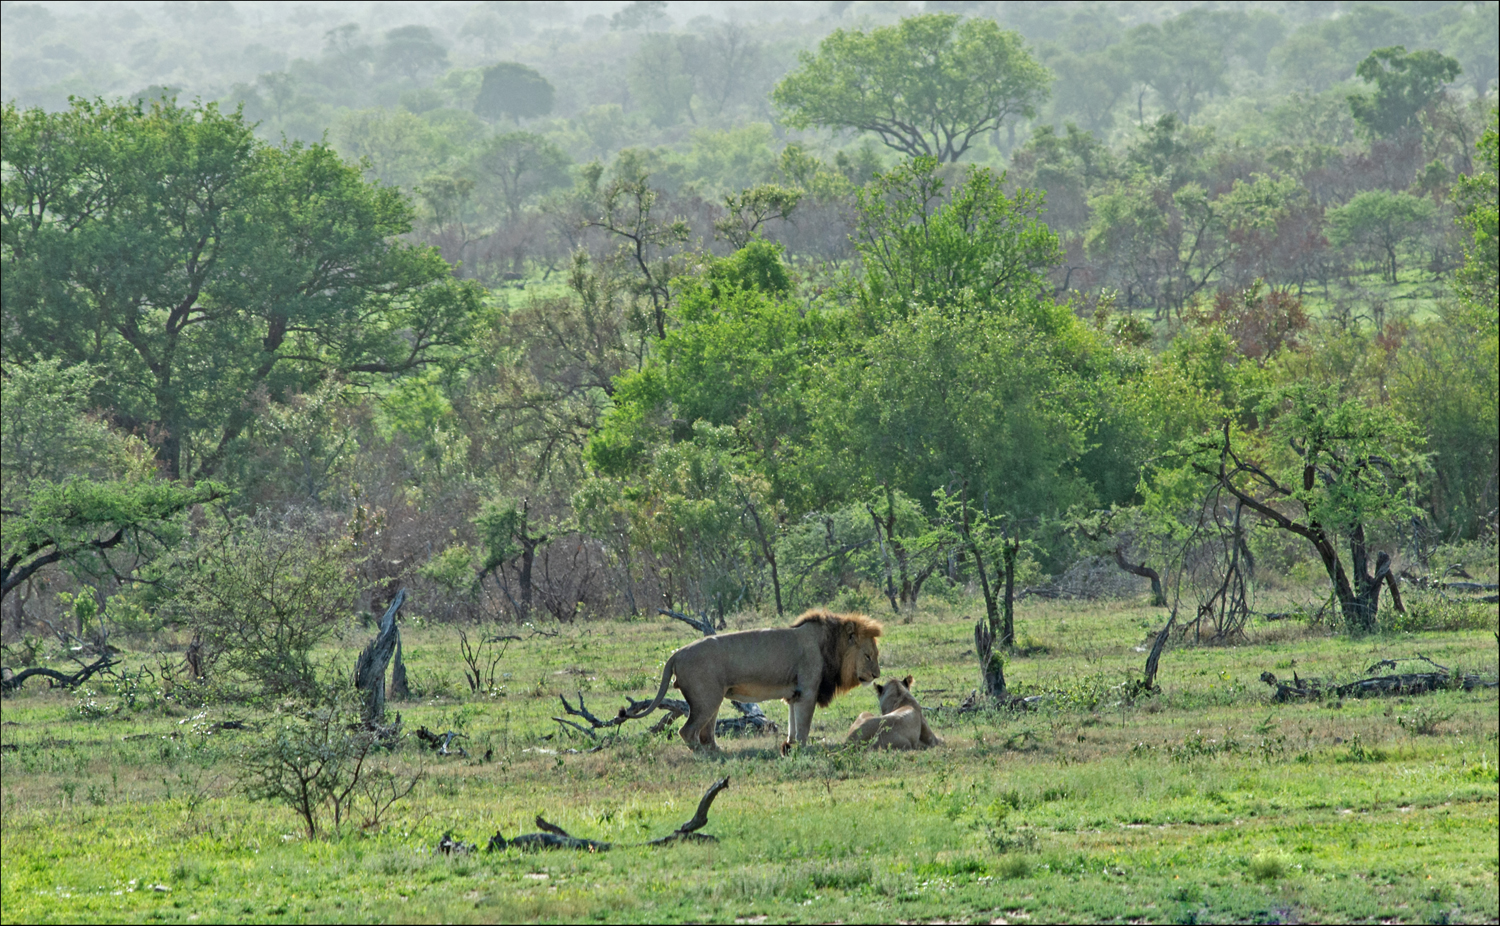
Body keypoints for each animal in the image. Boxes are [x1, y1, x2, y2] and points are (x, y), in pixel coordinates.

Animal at [618, 606, 882, 750]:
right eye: (868, 656)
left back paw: (716, 751)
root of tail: (676, 654)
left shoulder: (795, 695)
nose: (877, 675)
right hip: (707, 700)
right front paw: (804, 748)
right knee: (688, 731)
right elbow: (804, 727)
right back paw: (705, 756)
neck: (830, 644)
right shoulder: (808, 692)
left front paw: (791, 745)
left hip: (711, 700)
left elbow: (793, 725)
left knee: (705, 732)